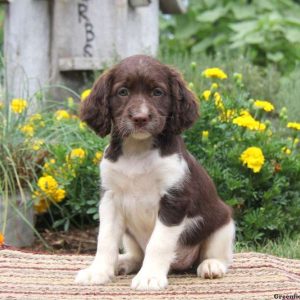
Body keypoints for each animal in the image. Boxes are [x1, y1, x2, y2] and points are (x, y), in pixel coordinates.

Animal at [75, 54, 234, 290]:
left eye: (157, 92)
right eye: (123, 92)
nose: (140, 118)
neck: (137, 151)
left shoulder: (174, 199)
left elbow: (158, 243)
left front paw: (149, 276)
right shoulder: (110, 198)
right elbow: (105, 239)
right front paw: (98, 272)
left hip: (223, 222)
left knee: (218, 254)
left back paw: (211, 265)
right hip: (130, 236)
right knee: (137, 255)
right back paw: (123, 262)